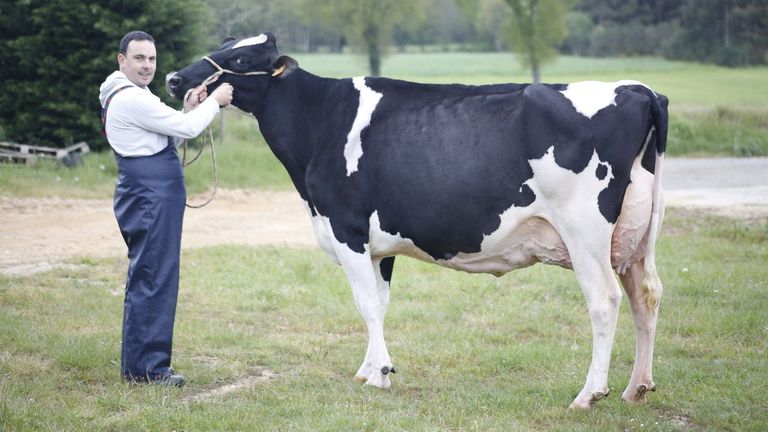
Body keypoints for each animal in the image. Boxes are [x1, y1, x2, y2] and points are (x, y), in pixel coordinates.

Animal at [167, 33, 668, 409]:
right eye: (224, 46)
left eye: (239, 58)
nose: (173, 79)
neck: (318, 120)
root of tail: (639, 89)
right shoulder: (380, 244)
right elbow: (380, 303)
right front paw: (371, 368)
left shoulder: (346, 229)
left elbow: (366, 305)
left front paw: (379, 374)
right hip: (638, 236)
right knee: (646, 296)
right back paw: (636, 387)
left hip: (584, 231)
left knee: (604, 301)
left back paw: (589, 394)